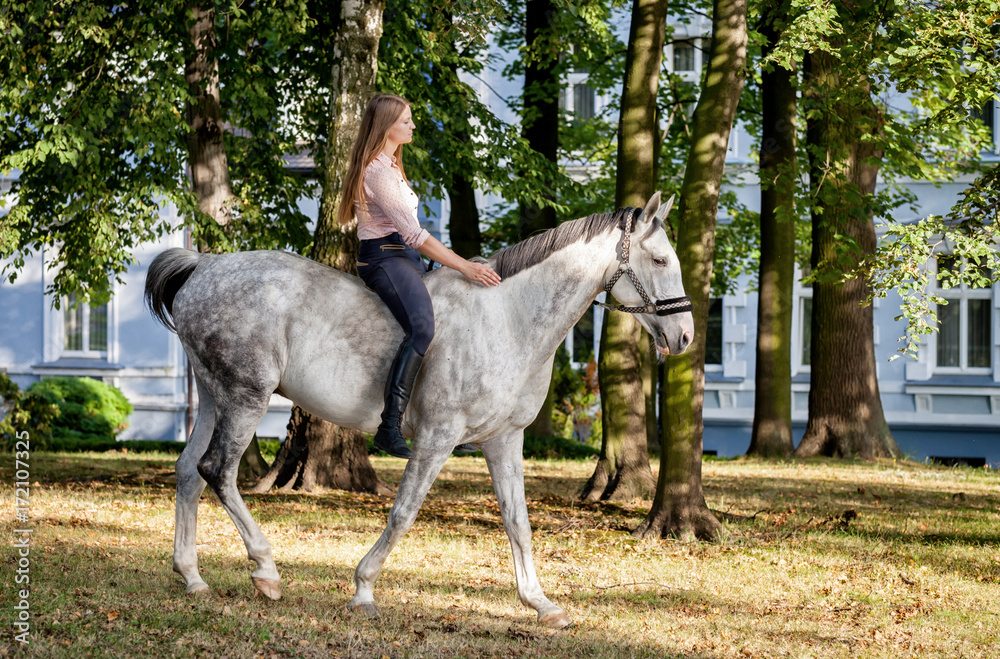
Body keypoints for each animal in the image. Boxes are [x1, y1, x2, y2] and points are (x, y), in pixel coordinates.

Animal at [145, 191, 692, 628]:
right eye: (661, 260)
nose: (684, 336)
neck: (509, 319)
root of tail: (204, 267)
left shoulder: (503, 439)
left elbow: (517, 521)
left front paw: (541, 603)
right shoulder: (437, 438)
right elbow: (404, 511)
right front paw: (364, 589)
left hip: (215, 398)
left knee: (189, 472)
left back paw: (192, 577)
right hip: (247, 398)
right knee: (218, 471)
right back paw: (265, 570)